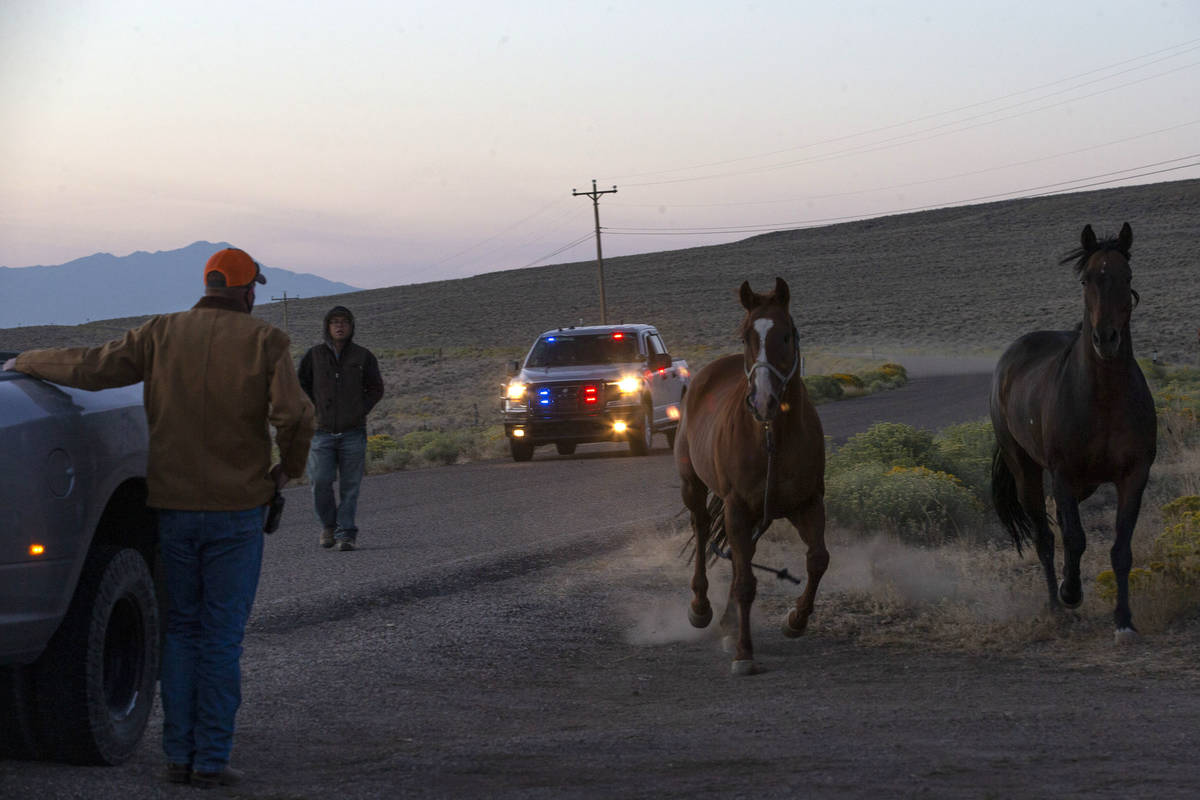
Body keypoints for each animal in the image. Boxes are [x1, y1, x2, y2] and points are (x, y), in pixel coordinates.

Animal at [672, 277, 830, 676]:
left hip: (759, 513)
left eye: (786, 335)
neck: (772, 436)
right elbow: (745, 582)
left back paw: (728, 623)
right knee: (702, 533)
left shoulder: (807, 503)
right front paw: (744, 652)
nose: (762, 401)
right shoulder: (737, 507)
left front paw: (795, 620)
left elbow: (818, 560)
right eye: (746, 337)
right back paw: (701, 609)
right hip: (694, 487)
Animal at [988, 224, 1156, 642]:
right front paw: (1070, 593)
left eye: (1127, 277)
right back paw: (1055, 603)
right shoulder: (1062, 473)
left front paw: (1124, 620)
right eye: (1086, 279)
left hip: (1085, 484)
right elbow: (1074, 539)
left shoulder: (1134, 475)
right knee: (1045, 536)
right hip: (1027, 471)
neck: (1104, 398)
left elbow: (1120, 548)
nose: (1106, 339)